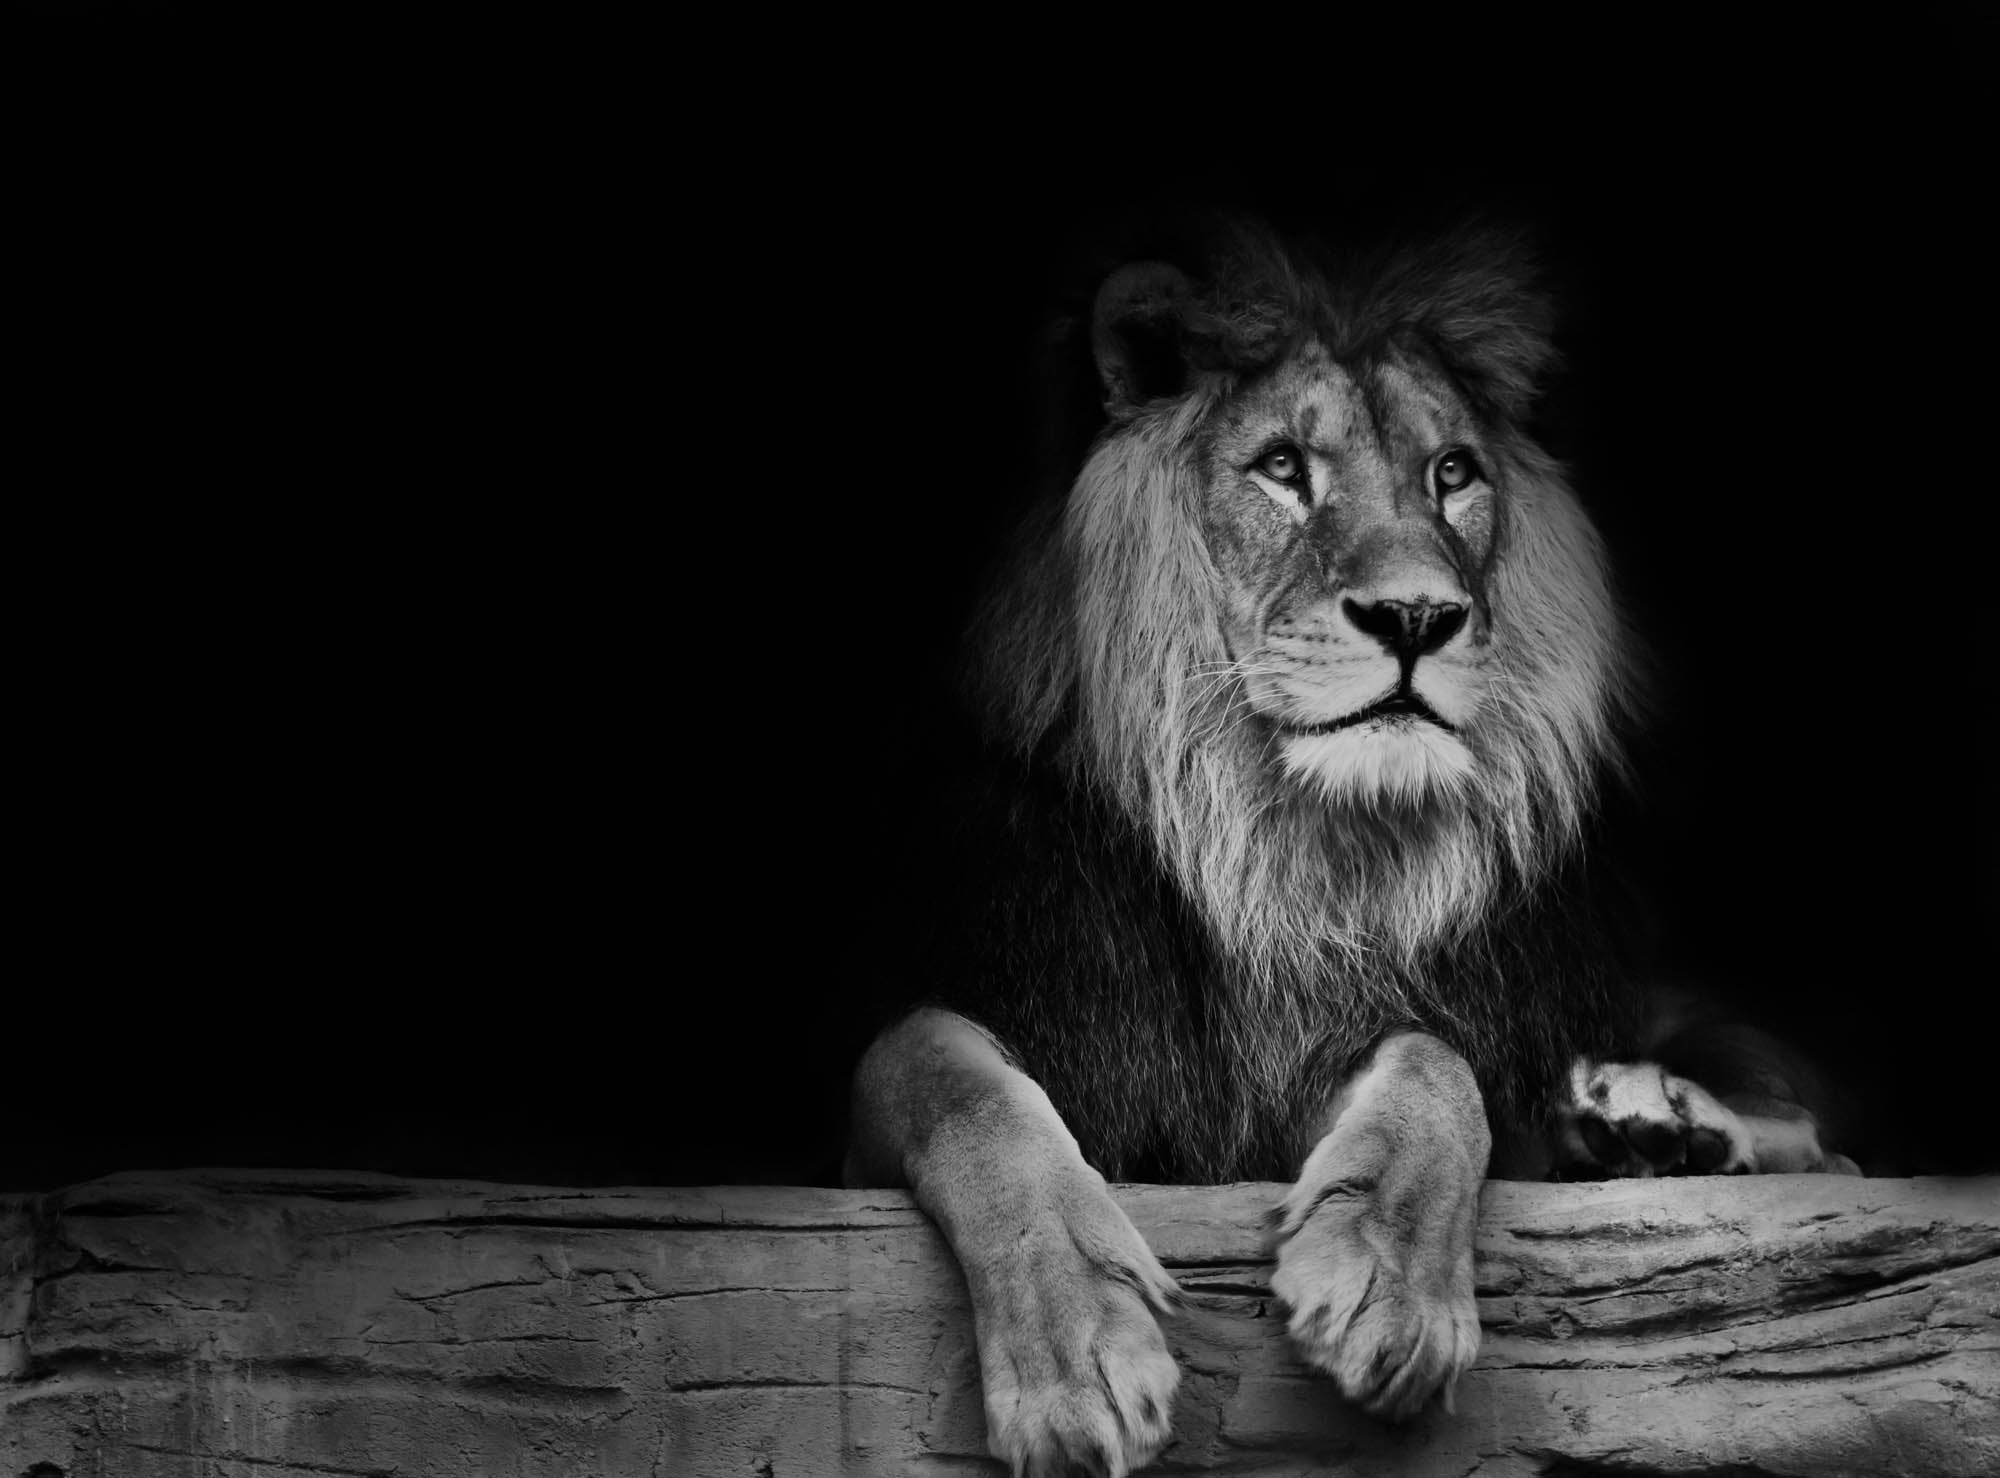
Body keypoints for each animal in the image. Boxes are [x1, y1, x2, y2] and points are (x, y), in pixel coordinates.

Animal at [845, 221, 1853, 1477]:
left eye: (1452, 473)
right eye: (1281, 466)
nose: (1415, 617)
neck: (1270, 842)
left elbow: (1434, 1058)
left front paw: (1388, 1282)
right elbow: (939, 1069)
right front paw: (1075, 1350)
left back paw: (1651, 1120)